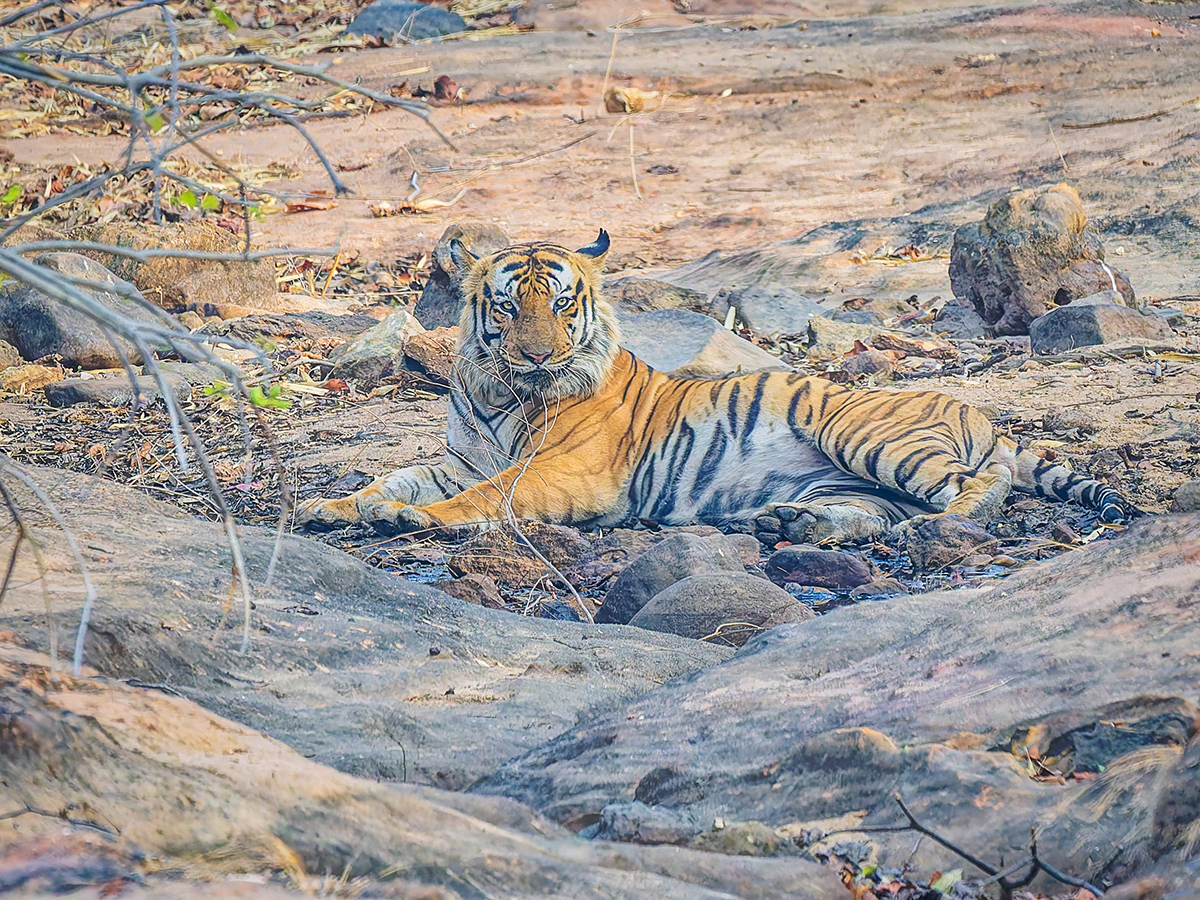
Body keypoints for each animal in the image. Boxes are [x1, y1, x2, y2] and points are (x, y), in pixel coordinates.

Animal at [296, 230, 1134, 546]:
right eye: (508, 305)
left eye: (562, 303)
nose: (537, 356)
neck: (501, 391)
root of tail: (976, 408)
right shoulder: (463, 455)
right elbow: (397, 475)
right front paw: (338, 505)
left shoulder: (565, 469)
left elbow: (485, 495)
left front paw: (415, 520)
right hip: (856, 477)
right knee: (878, 511)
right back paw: (794, 524)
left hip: (865, 435)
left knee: (982, 487)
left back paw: (942, 525)